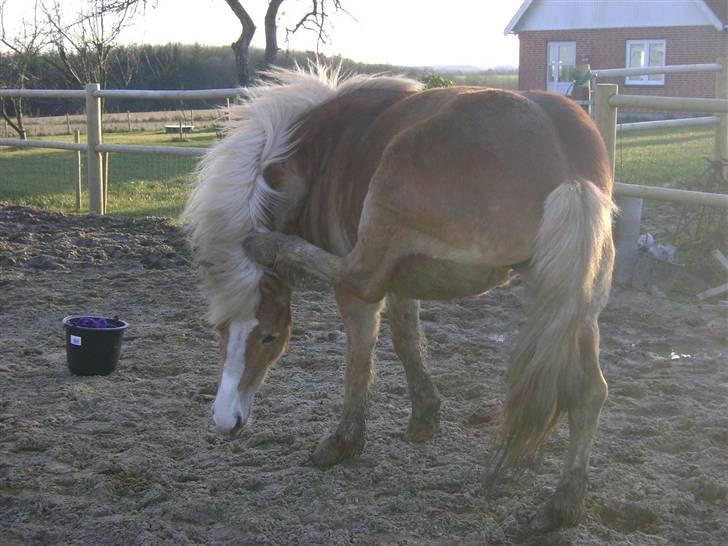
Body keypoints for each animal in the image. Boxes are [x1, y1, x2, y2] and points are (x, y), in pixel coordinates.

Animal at [182, 65, 616, 528]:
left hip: (381, 225)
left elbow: (359, 358)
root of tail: (567, 166)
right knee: (590, 391)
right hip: (577, 297)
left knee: (355, 275)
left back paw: (269, 245)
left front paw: (345, 441)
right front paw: (425, 416)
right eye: (219, 331)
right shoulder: (406, 280)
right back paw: (563, 503)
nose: (224, 420)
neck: (312, 155)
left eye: (269, 336)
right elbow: (407, 341)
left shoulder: (373, 287)